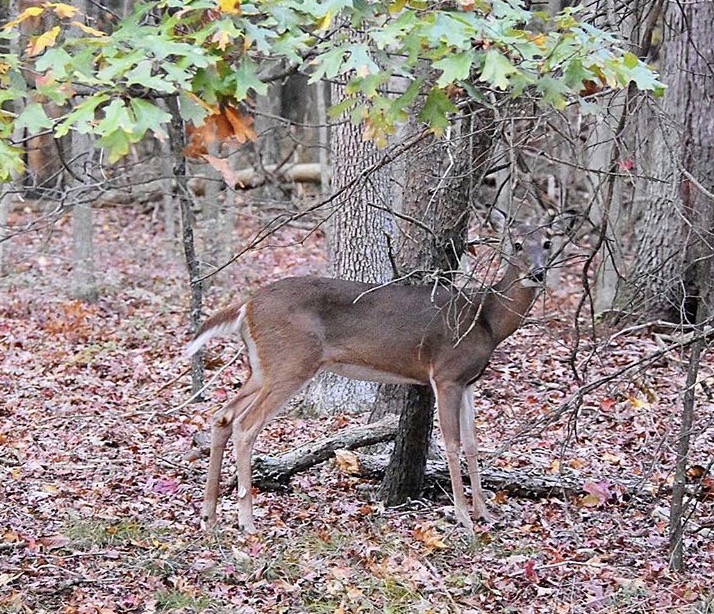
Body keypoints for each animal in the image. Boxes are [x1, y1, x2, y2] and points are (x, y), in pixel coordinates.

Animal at [186, 211, 564, 536]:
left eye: (547, 242)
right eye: (516, 243)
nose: (537, 273)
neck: (486, 319)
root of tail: (246, 305)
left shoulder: (469, 380)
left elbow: (473, 444)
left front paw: (486, 513)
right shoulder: (446, 374)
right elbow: (453, 443)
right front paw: (463, 518)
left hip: (262, 368)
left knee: (222, 415)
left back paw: (209, 515)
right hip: (290, 362)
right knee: (245, 425)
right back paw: (246, 521)